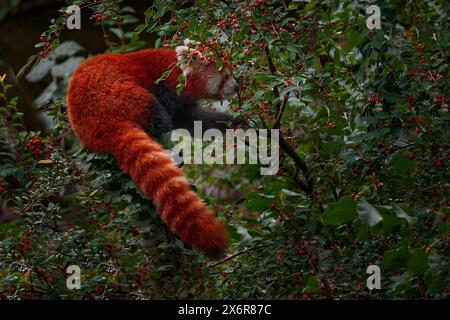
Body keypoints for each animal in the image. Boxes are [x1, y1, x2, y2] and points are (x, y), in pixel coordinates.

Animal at [66, 42, 239, 255]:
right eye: (226, 75)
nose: (237, 86)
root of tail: (102, 125)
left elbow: (194, 119)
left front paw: (236, 122)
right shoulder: (166, 86)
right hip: (122, 94)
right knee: (157, 116)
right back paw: (174, 153)